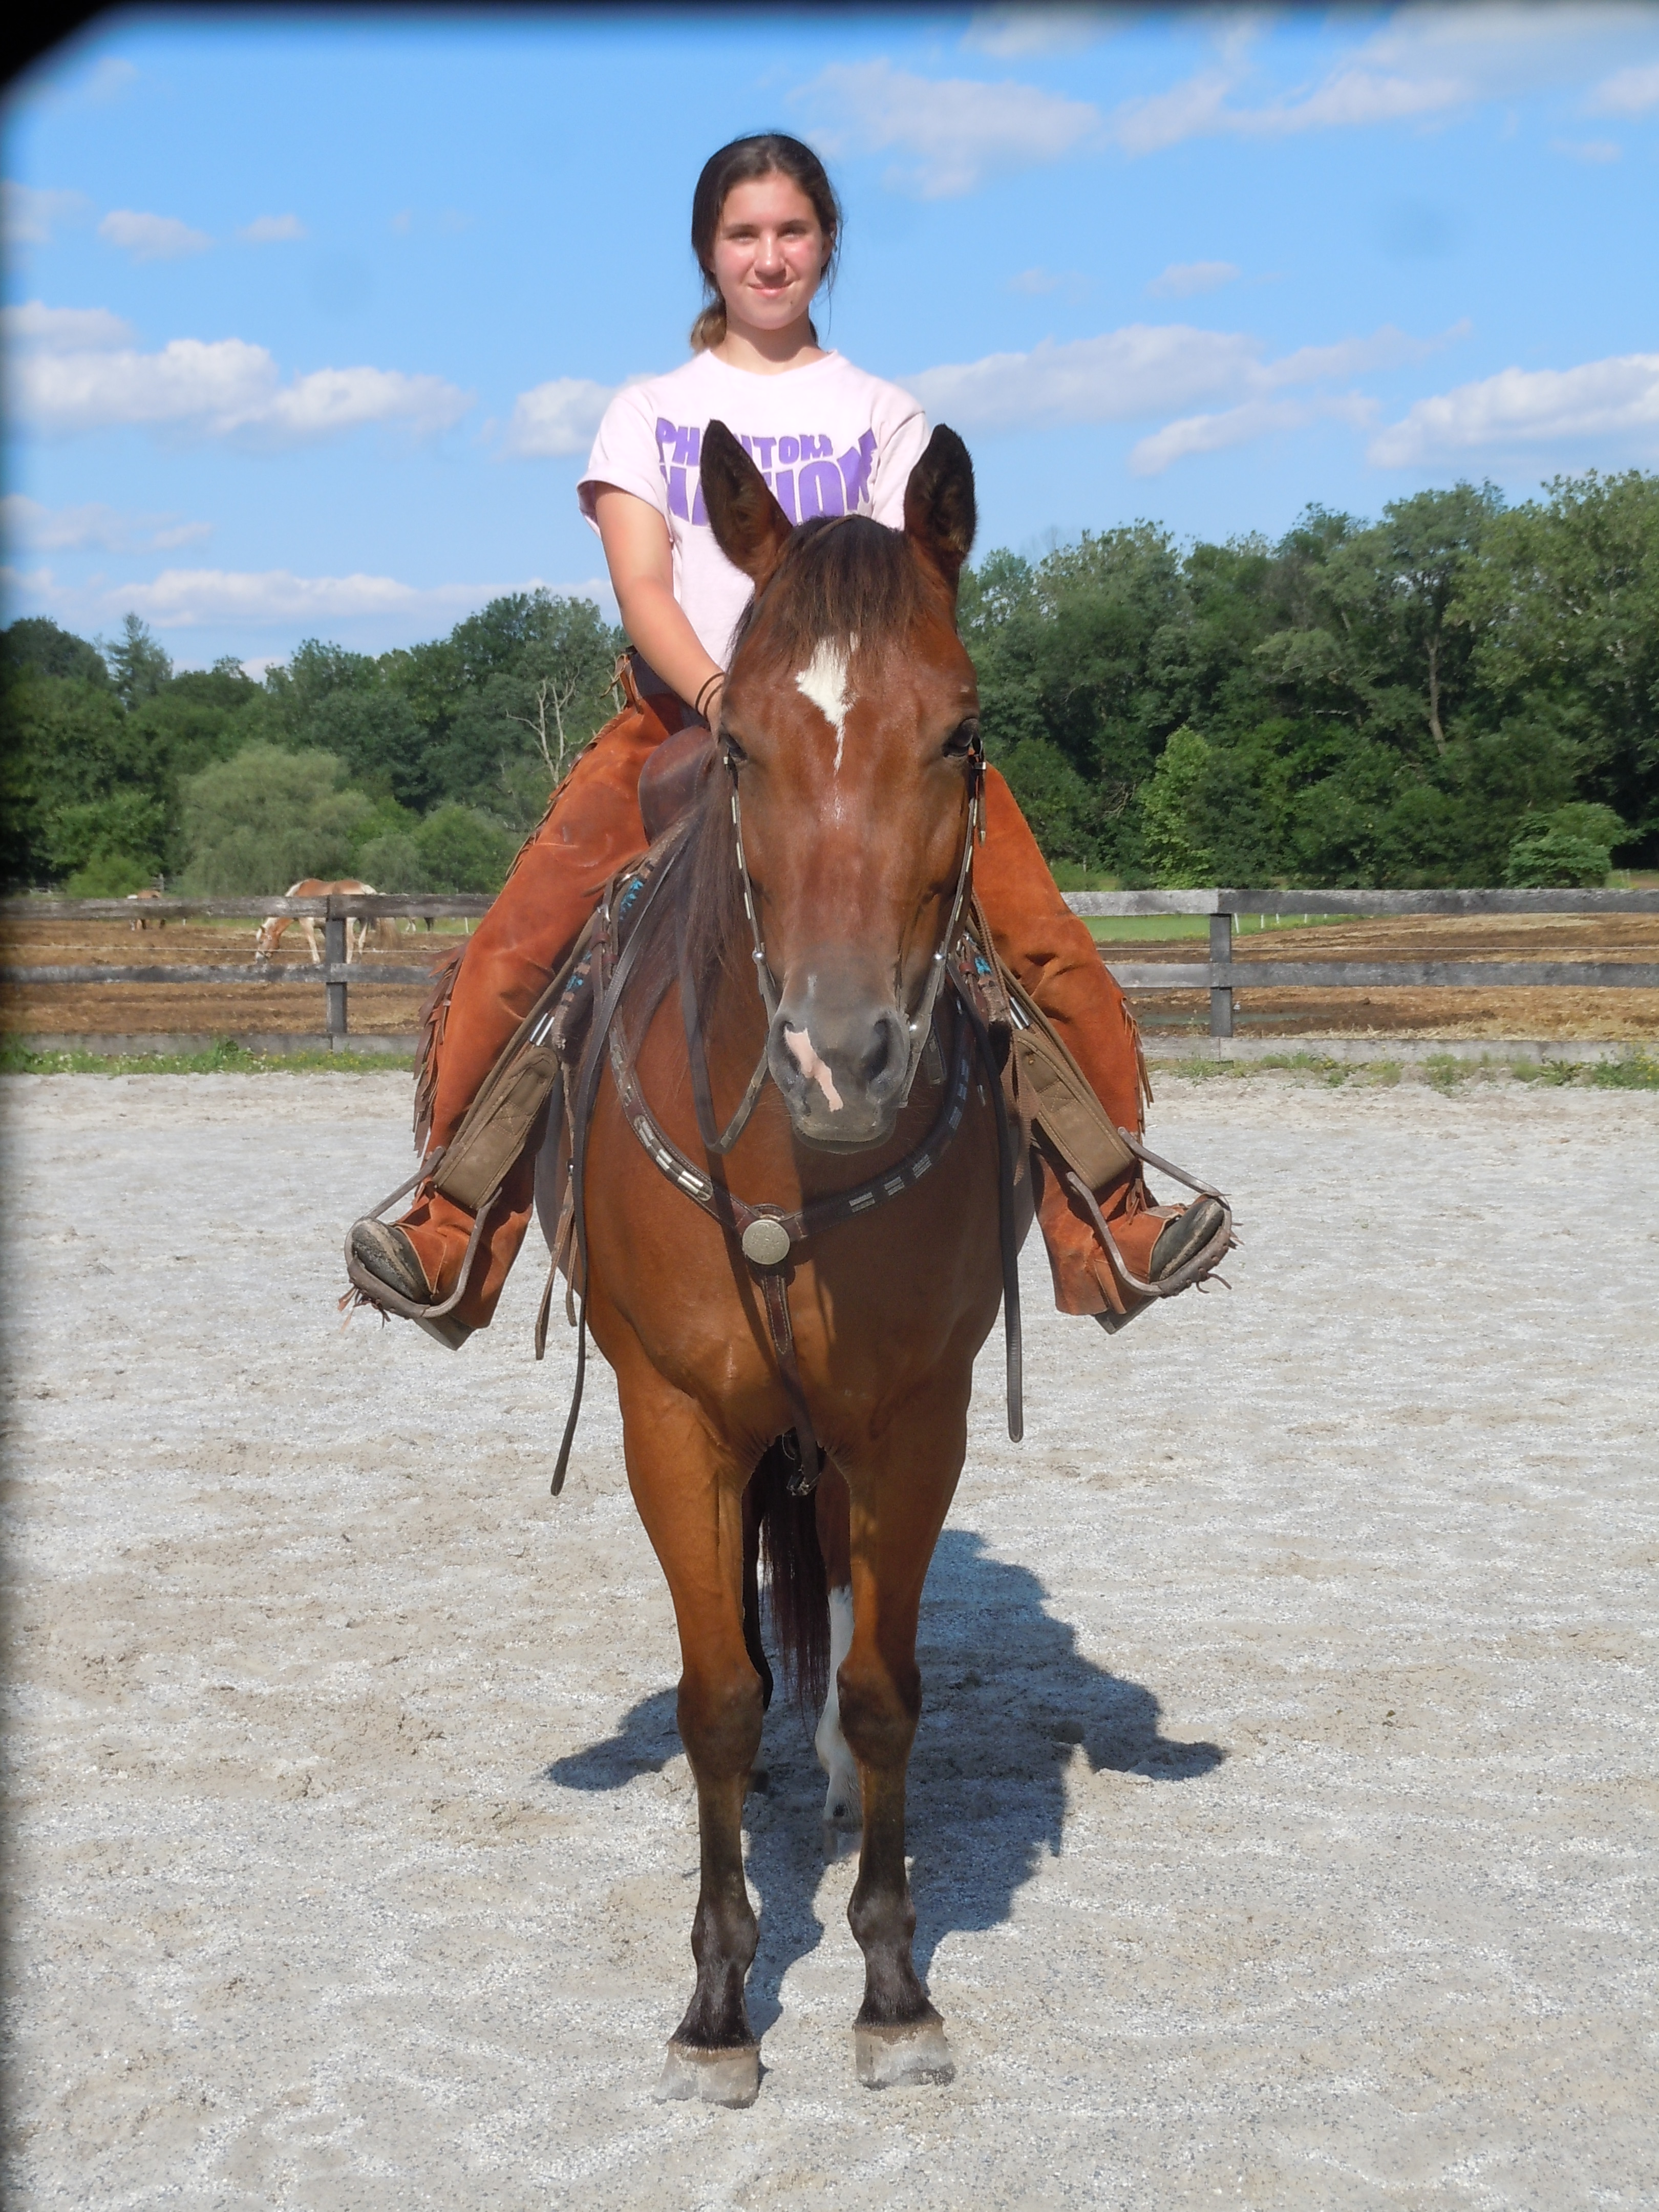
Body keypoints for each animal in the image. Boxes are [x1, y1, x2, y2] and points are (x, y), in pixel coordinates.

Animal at [254, 880, 390, 965]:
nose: (258, 959)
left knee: (352, 942)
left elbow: (312, 943)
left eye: (261, 942)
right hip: (364, 921)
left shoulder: (307, 924)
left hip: (350, 923)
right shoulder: (323, 927)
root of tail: (363, 887)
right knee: (362, 942)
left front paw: (316, 961)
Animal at [538, 420, 1021, 2105]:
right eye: (737, 745)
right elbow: (715, 1698)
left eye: (959, 733)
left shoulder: (912, 1421)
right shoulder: (673, 1421)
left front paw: (889, 1988)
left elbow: (879, 1696)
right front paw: (716, 2004)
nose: (843, 1055)